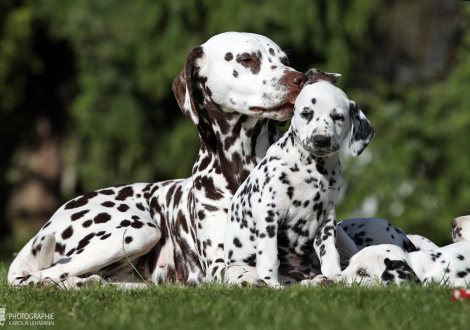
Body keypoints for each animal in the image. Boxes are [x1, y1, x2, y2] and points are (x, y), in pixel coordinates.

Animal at [7, 32, 314, 288]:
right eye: (247, 59)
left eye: (285, 60)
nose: (301, 79)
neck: (242, 164)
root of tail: (45, 226)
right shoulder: (218, 263)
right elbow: (242, 271)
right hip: (137, 232)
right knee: (38, 276)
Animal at [224, 76, 374, 286]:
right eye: (306, 114)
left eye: (338, 117)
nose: (321, 140)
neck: (312, 169)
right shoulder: (268, 214)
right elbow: (270, 257)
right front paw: (272, 284)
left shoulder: (326, 219)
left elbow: (330, 254)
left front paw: (335, 277)